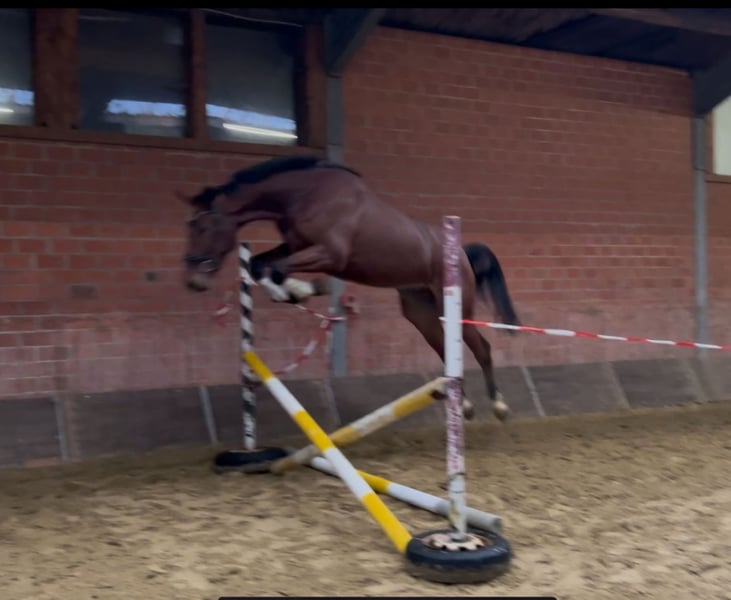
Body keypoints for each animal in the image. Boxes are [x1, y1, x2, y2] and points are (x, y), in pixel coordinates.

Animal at [179, 154, 521, 422]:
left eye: (203, 227)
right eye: (191, 226)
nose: (194, 281)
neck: (306, 194)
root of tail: (460, 252)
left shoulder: (329, 254)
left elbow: (276, 269)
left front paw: (298, 290)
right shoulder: (295, 246)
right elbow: (260, 264)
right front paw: (293, 291)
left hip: (456, 306)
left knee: (481, 348)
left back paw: (499, 405)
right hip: (422, 313)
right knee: (447, 349)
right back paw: (464, 404)